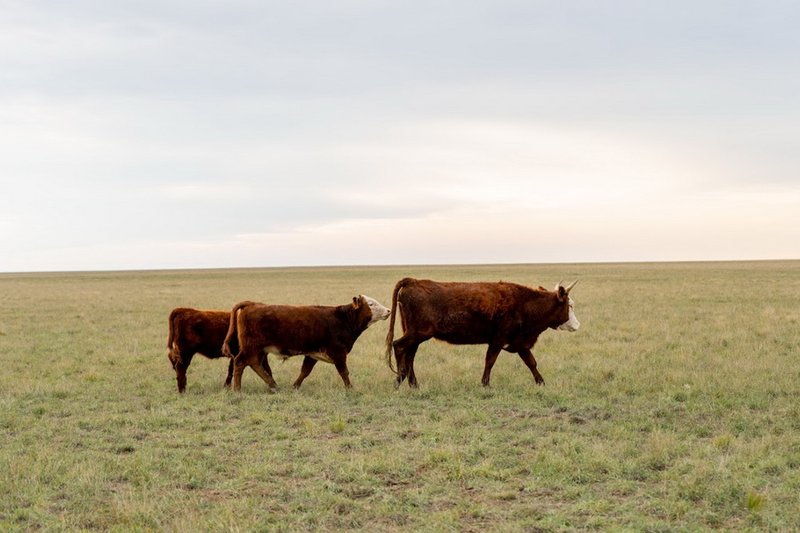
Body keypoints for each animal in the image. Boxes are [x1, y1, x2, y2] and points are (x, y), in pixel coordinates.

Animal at [222, 296, 390, 390]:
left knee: (255, 364)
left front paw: (295, 386)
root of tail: (253, 304)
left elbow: (305, 371)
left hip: (259, 349)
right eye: (371, 304)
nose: (388, 310)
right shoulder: (338, 353)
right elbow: (344, 372)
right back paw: (238, 389)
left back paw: (273, 385)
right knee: (240, 362)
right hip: (251, 347)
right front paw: (350, 388)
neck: (343, 319)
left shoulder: (312, 354)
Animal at [384, 278, 580, 386]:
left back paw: (413, 383)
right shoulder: (498, 340)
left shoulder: (519, 343)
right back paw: (400, 379)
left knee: (409, 355)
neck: (525, 304)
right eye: (570, 305)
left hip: (416, 335)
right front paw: (485, 383)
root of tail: (413, 281)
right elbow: (490, 361)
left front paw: (541, 382)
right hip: (418, 333)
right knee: (398, 346)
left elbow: (531, 362)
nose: (577, 325)